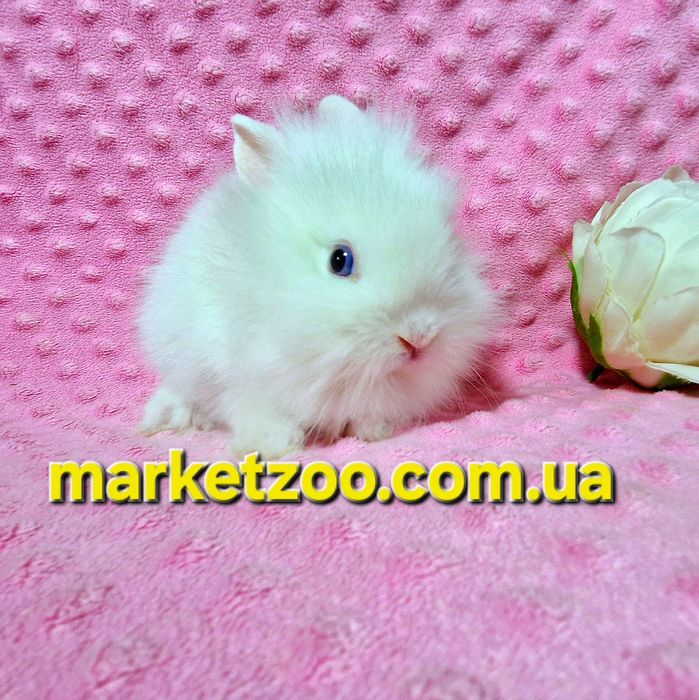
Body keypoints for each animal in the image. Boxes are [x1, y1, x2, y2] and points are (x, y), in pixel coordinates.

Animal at [138, 94, 496, 458]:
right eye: (340, 260)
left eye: (448, 235)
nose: (419, 336)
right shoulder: (242, 376)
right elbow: (256, 412)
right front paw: (272, 447)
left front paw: (375, 430)